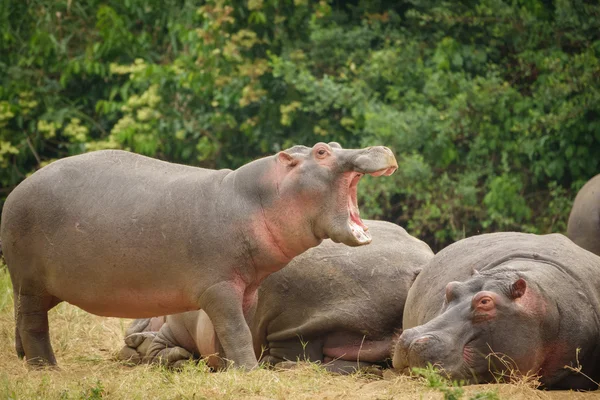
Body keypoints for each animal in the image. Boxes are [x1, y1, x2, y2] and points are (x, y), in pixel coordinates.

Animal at [1, 141, 398, 368]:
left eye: (334, 143)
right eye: (321, 151)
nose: (382, 147)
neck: (258, 197)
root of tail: (18, 189)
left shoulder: (247, 289)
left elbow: (235, 329)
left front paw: (226, 367)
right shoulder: (218, 287)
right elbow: (236, 330)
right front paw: (251, 371)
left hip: (36, 287)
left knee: (22, 316)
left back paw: (21, 357)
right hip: (30, 280)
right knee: (34, 323)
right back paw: (46, 367)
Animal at [119, 220, 434, 374]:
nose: (129, 334)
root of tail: (417, 269)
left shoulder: (174, 327)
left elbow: (159, 349)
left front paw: (171, 357)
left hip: (292, 317)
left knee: (290, 354)